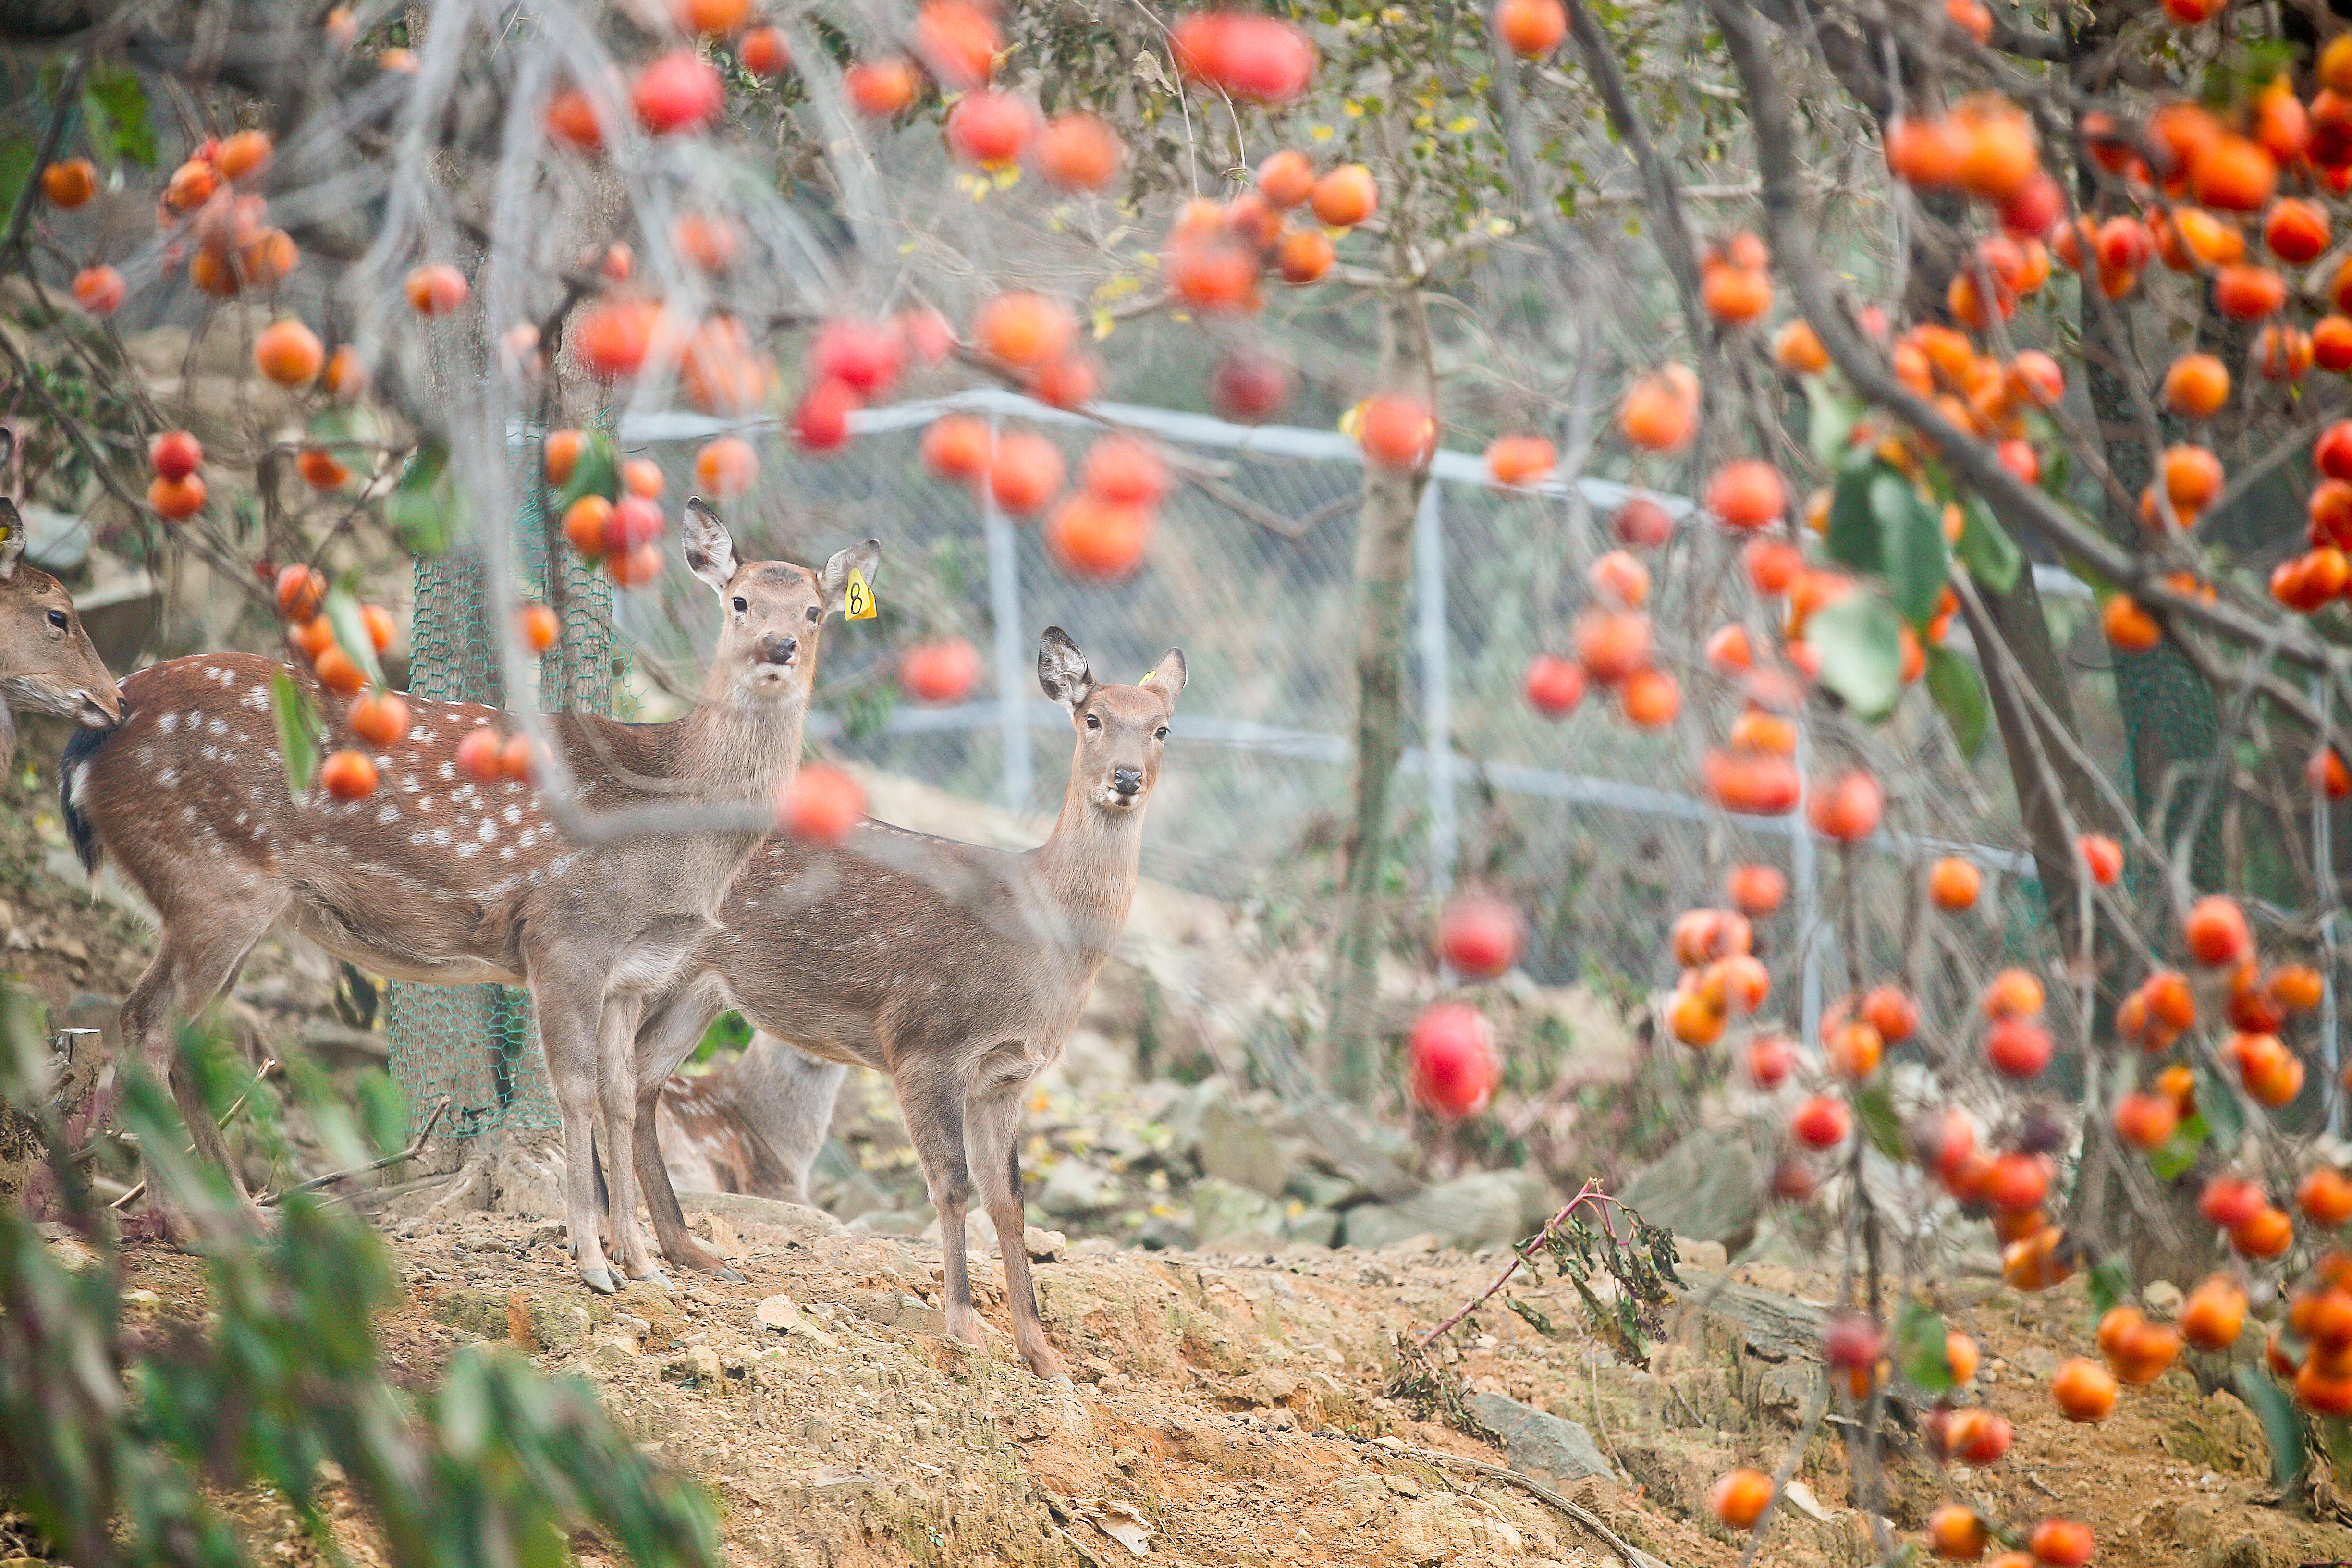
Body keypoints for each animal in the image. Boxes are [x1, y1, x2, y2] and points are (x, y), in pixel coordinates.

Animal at [60, 503, 884, 1298]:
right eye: (739, 600)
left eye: (814, 611)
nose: (778, 645)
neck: (676, 828)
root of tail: (98, 730)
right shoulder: (565, 938)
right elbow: (575, 1093)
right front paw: (596, 1263)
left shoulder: (633, 972)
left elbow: (621, 1097)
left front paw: (644, 1263)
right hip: (208, 877)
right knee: (143, 1024)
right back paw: (183, 1222)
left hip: (234, 902)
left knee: (182, 1040)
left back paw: (244, 1220)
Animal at [630, 630, 1185, 1382]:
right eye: (1092, 718)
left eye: (1162, 728)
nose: (1126, 779)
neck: (1041, 940)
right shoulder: (925, 1041)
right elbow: (951, 1185)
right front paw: (965, 1326)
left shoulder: (1009, 1075)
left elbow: (1009, 1200)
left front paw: (1043, 1354)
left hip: (700, 988)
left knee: (639, 1078)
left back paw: (687, 1249)